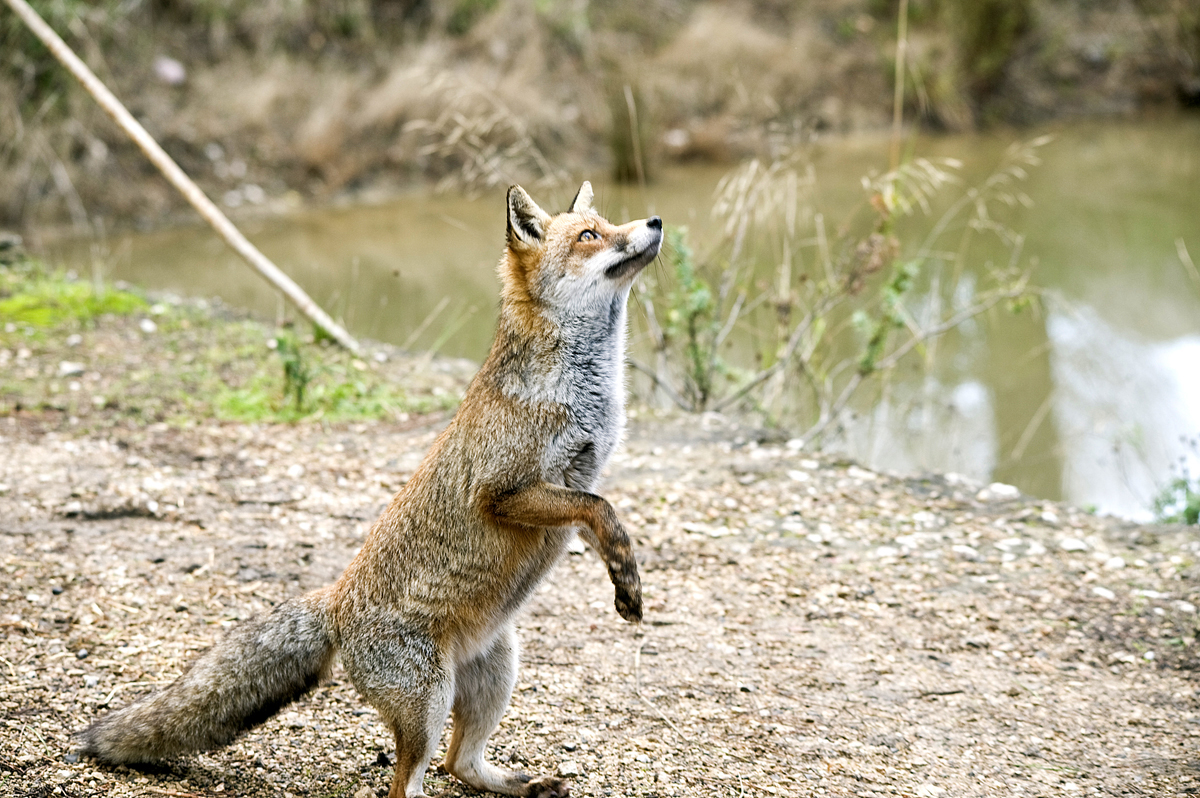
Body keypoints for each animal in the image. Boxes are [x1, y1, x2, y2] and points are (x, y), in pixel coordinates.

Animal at [79, 183, 662, 796]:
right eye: (590, 235)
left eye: (608, 223)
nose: (655, 221)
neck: (579, 394)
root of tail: (334, 604)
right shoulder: (505, 491)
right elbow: (603, 508)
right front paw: (628, 588)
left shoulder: (576, 484)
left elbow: (605, 523)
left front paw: (626, 584)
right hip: (430, 701)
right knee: (409, 783)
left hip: (495, 674)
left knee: (460, 764)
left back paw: (520, 784)